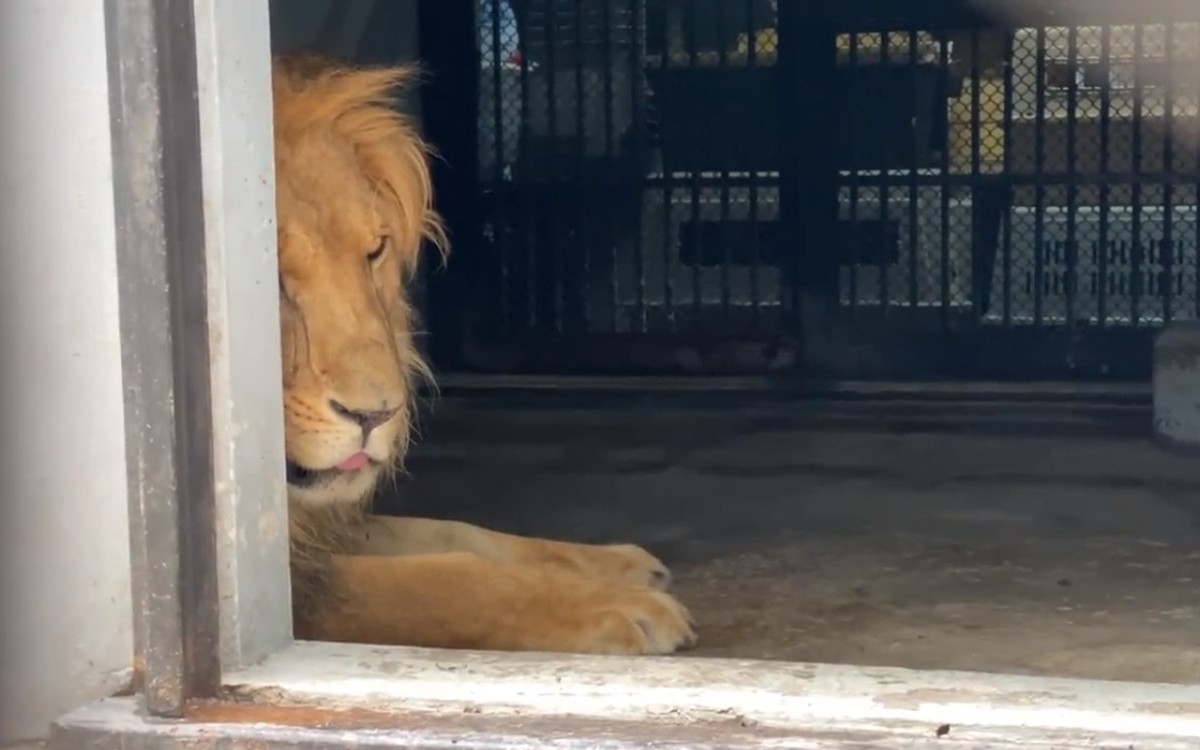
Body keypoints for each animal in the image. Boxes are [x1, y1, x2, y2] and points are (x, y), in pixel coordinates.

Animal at [271, 54, 696, 655]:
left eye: (374, 250)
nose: (377, 415)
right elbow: (444, 577)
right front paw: (613, 605)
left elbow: (459, 533)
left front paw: (614, 564)